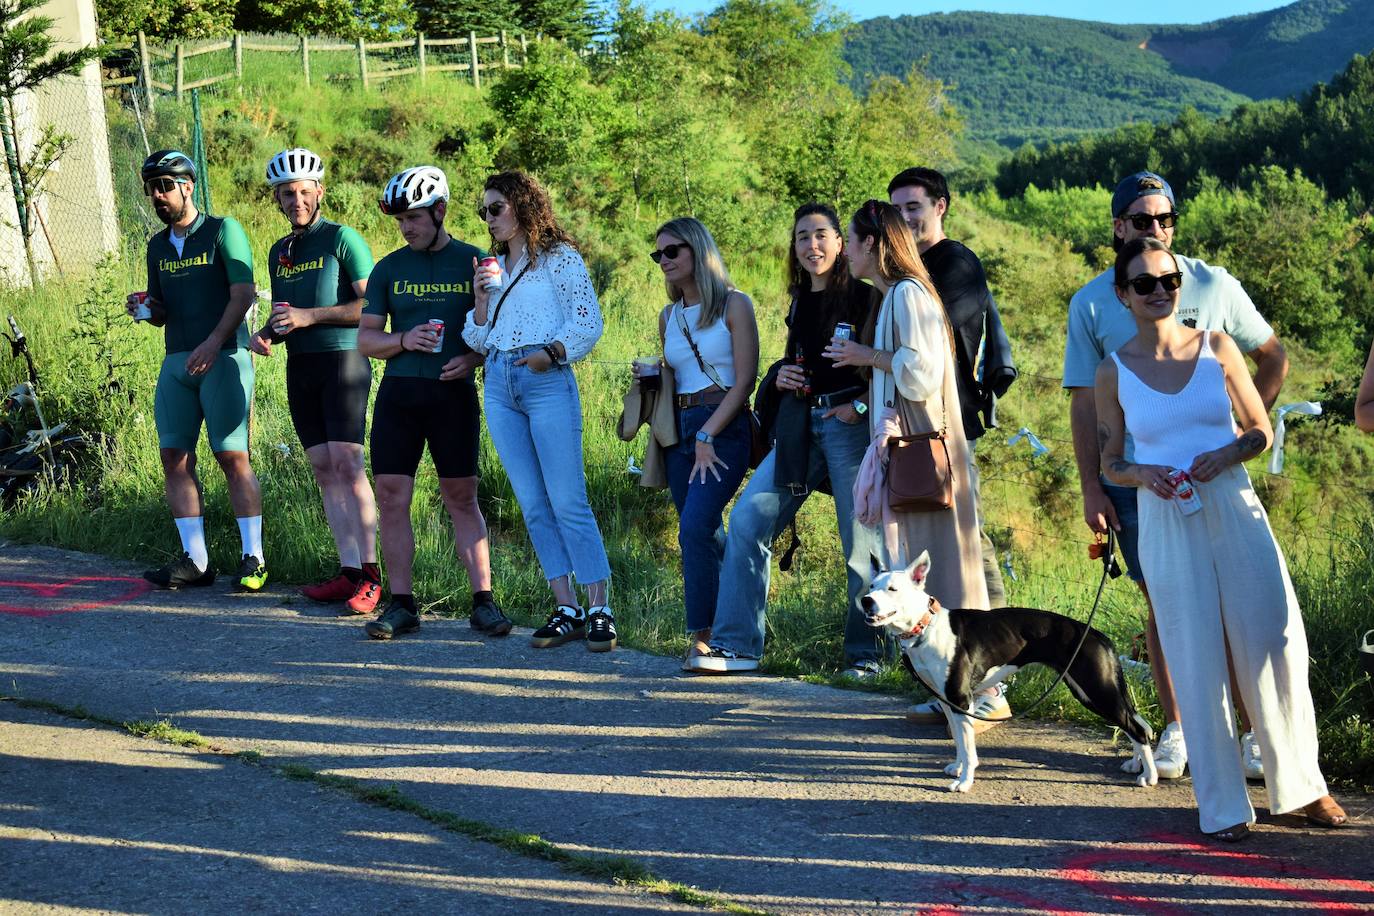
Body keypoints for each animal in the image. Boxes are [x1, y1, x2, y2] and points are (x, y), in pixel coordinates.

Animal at [862, 552, 1154, 796]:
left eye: (892, 589)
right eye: (872, 586)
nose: (866, 601)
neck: (927, 627)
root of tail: (1096, 635)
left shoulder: (960, 701)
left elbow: (968, 749)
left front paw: (964, 781)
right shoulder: (947, 702)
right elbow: (958, 740)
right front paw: (957, 768)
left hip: (1097, 690)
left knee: (1137, 729)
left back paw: (1148, 776)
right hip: (1092, 691)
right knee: (1133, 724)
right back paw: (1135, 764)